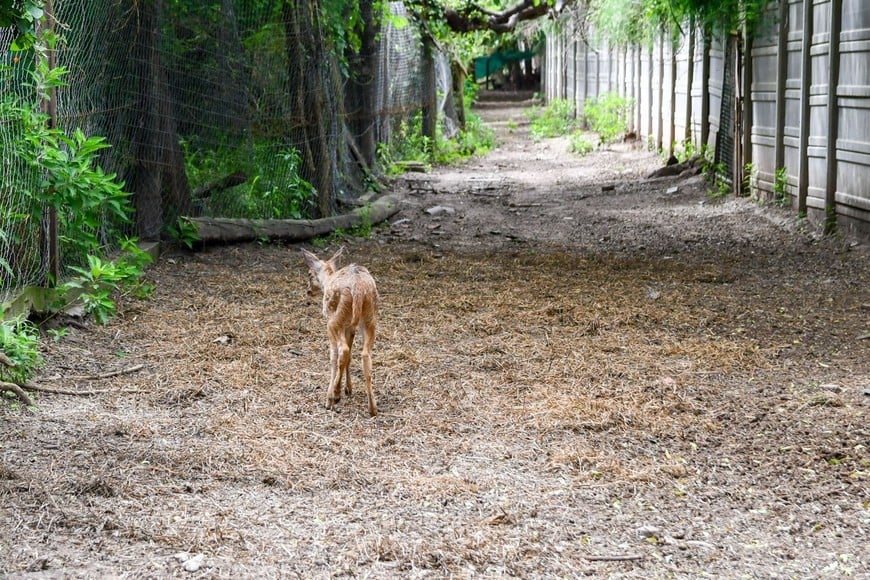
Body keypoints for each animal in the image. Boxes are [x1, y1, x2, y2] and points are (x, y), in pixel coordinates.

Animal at [301, 247, 379, 417]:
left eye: (309, 274)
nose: (308, 291)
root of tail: (357, 289)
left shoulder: (335, 325)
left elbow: (334, 357)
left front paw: (331, 397)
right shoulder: (350, 328)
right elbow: (349, 356)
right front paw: (348, 389)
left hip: (335, 319)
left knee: (342, 351)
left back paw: (334, 395)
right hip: (370, 318)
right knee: (364, 354)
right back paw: (372, 407)